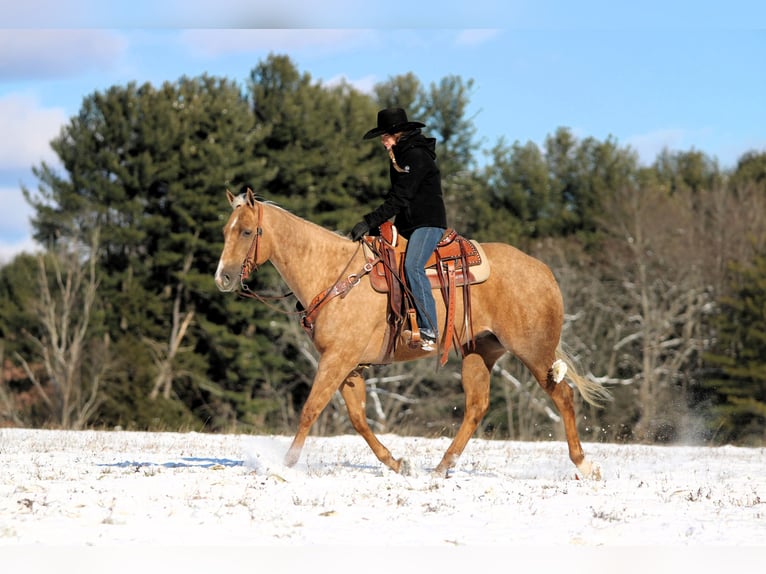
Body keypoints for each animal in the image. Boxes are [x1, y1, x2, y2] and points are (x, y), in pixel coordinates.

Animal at [215, 188, 610, 478]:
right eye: (225, 231)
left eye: (246, 231)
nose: (223, 278)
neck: (333, 273)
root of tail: (543, 271)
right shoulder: (349, 365)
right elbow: (358, 418)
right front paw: (397, 463)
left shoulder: (337, 358)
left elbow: (311, 409)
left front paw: (284, 465)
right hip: (480, 351)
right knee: (477, 406)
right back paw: (441, 468)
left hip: (533, 350)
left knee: (563, 396)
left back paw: (585, 466)